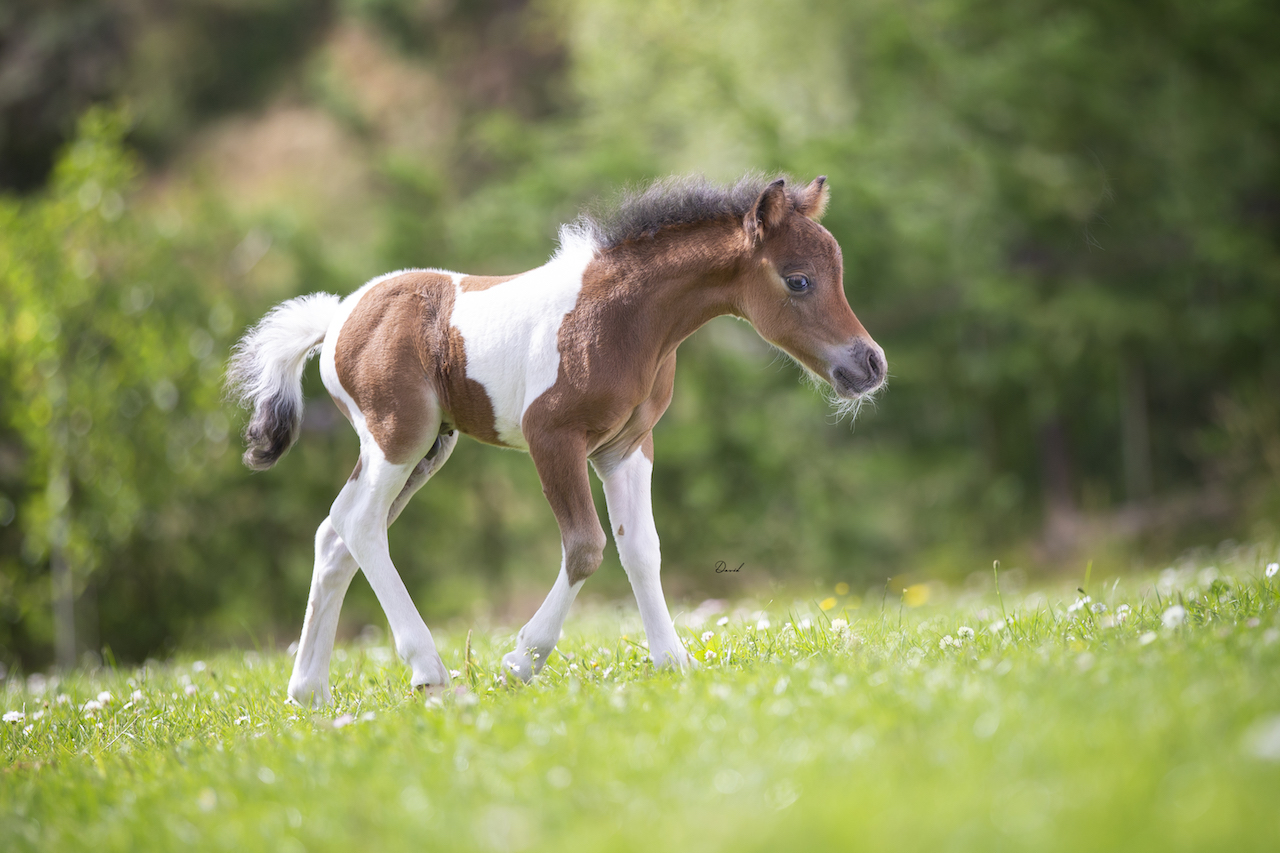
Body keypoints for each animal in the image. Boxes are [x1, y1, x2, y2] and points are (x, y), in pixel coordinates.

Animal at [227, 174, 886, 707]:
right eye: (798, 280)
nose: (871, 364)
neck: (625, 318)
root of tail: (337, 317)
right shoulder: (553, 438)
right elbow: (586, 546)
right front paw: (521, 661)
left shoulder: (627, 448)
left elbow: (642, 548)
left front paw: (673, 661)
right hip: (398, 436)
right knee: (360, 525)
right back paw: (429, 671)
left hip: (427, 448)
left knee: (334, 534)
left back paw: (308, 692)